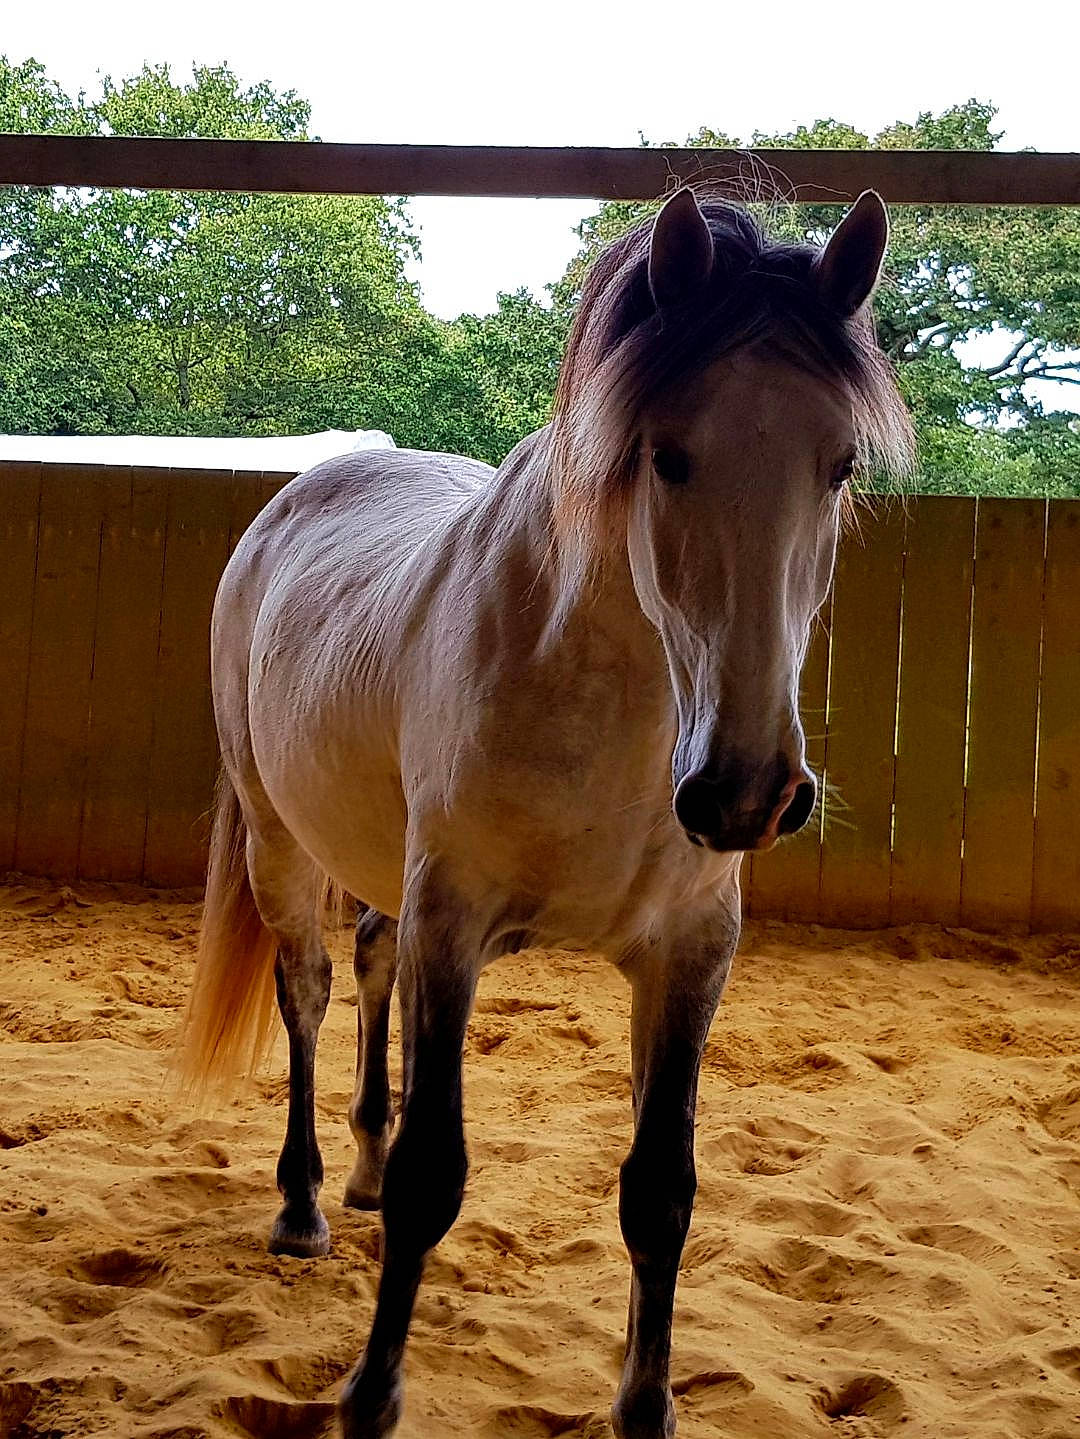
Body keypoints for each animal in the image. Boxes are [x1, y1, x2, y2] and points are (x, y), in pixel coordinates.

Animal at [178, 185, 912, 1439]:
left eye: (841, 462)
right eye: (668, 454)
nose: (747, 789)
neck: (606, 700)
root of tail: (302, 494)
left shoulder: (689, 953)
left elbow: (660, 1191)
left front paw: (646, 1403)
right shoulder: (454, 921)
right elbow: (434, 1174)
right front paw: (371, 1393)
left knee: (369, 962)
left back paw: (354, 1171)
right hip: (281, 842)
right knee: (312, 989)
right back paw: (305, 1203)